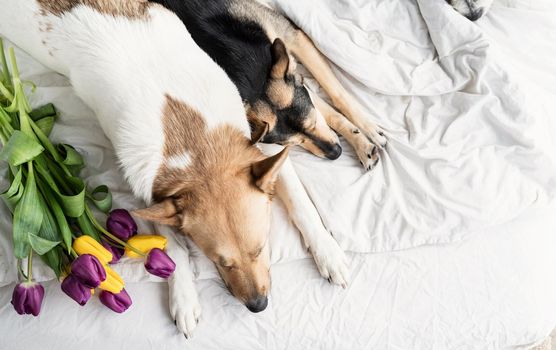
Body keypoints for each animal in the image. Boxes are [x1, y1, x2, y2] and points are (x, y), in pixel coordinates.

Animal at [0, 0, 348, 338]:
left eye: (261, 248)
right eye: (218, 261)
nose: (258, 306)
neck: (197, 146)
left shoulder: (259, 147)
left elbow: (301, 205)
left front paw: (328, 253)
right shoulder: (150, 193)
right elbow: (172, 251)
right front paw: (183, 299)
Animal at [150, 0, 388, 171]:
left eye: (310, 124)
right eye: (291, 143)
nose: (336, 153)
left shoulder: (292, 39)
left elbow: (336, 94)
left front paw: (368, 132)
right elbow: (327, 114)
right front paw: (361, 143)